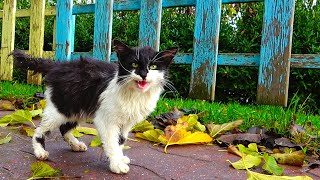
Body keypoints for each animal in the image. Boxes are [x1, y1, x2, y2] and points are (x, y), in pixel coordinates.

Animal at [11, 40, 178, 174]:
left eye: (153, 66)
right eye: (134, 64)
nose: (143, 74)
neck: (134, 94)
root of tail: (59, 66)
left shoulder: (126, 123)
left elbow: (120, 141)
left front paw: (120, 158)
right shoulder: (106, 120)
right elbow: (112, 142)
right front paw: (116, 164)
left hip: (77, 107)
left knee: (64, 128)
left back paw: (75, 144)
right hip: (61, 107)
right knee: (40, 130)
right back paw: (40, 151)